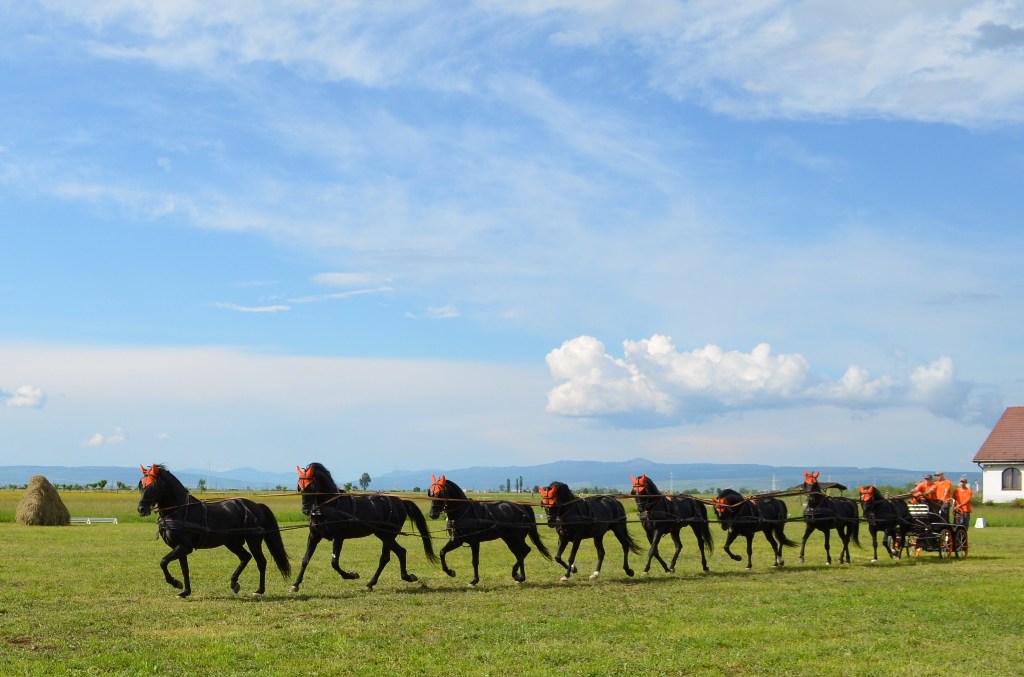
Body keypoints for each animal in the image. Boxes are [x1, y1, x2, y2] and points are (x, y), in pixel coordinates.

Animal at [134, 464, 290, 598]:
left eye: (153, 486)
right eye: (141, 485)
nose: (141, 509)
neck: (180, 510)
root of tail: (255, 506)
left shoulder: (184, 547)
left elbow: (163, 561)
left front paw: (175, 583)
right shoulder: (180, 547)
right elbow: (185, 569)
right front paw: (185, 591)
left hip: (253, 540)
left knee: (261, 561)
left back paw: (259, 590)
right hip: (232, 542)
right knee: (245, 557)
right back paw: (234, 583)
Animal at [288, 462, 436, 589]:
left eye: (312, 486)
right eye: (299, 486)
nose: (306, 510)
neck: (329, 506)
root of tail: (400, 502)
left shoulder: (338, 537)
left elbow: (334, 563)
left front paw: (351, 575)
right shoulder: (314, 536)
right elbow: (305, 559)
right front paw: (295, 584)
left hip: (389, 535)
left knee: (385, 558)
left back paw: (371, 583)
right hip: (382, 534)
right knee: (401, 551)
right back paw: (407, 576)